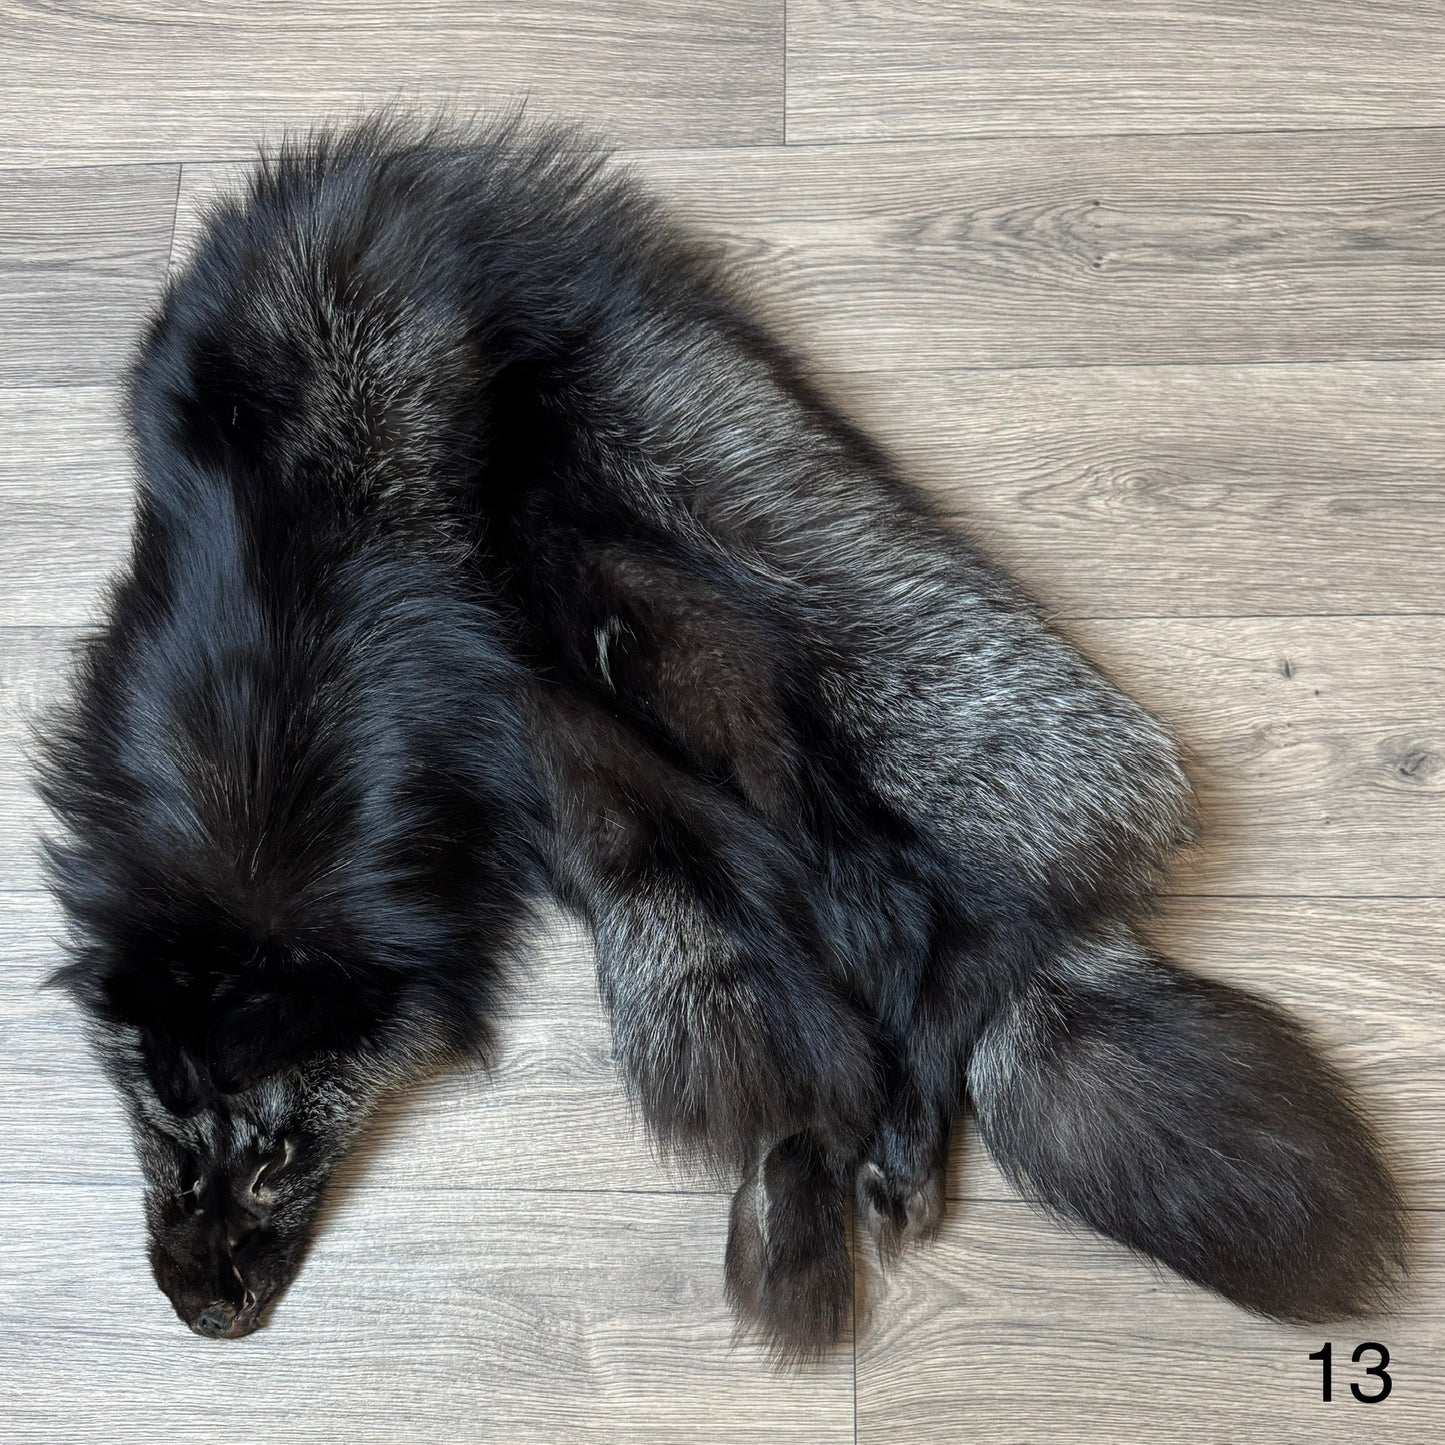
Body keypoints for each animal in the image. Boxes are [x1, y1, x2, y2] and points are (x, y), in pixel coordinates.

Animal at [37, 114, 1405, 1356]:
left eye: (278, 1157)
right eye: (169, 1142)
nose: (208, 1314)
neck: (268, 679)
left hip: (697, 537)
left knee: (900, 897)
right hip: (643, 674)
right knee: (854, 922)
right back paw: (842, 1161)